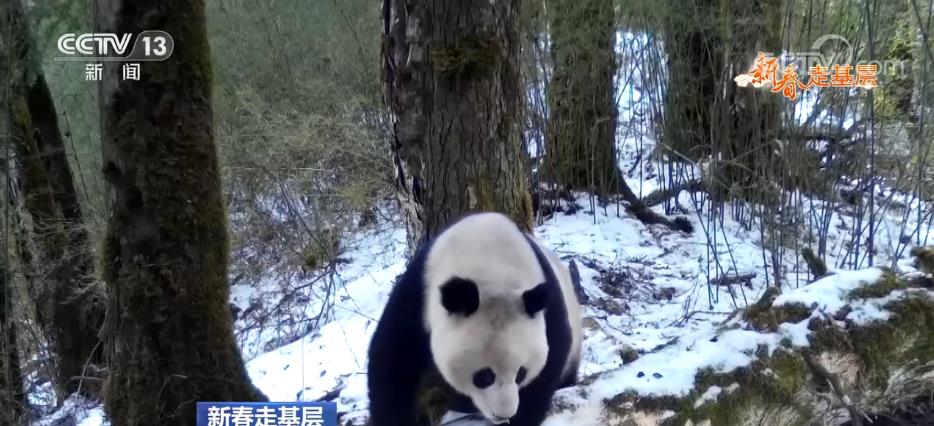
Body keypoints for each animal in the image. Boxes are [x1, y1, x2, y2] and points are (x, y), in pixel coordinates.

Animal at [368, 212, 580, 426]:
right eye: (484, 376)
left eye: (521, 373)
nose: (503, 414)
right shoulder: (420, 290)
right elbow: (394, 358)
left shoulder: (546, 306)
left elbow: (549, 363)